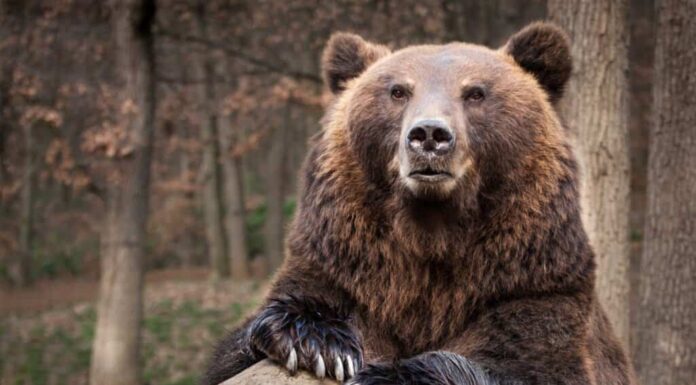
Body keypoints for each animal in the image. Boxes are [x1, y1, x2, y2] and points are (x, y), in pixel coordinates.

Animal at [201, 22, 636, 384]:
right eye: (398, 91)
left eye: (475, 92)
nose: (429, 134)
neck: (430, 233)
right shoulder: (344, 268)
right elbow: (244, 344)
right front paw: (316, 343)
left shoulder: (531, 283)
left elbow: (528, 362)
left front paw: (387, 375)